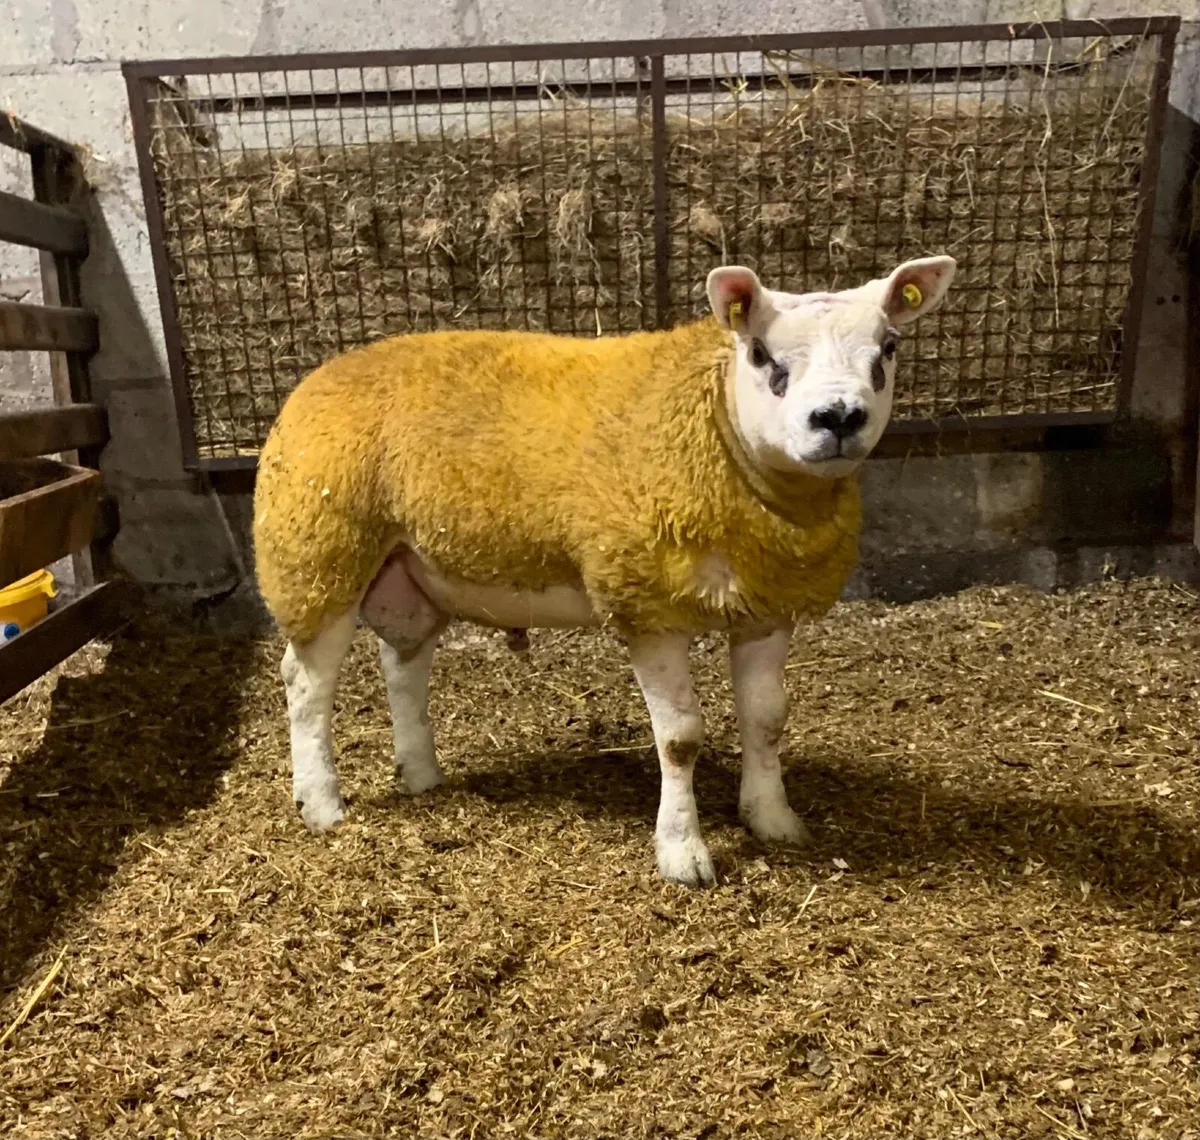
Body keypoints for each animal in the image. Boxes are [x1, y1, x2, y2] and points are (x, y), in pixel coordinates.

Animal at [253, 254, 956, 888]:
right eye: (762, 355)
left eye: (888, 348)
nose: (838, 418)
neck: (714, 423)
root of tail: (316, 379)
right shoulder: (645, 603)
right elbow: (680, 739)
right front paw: (682, 854)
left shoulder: (767, 606)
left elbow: (766, 719)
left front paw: (773, 819)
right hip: (318, 556)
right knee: (306, 685)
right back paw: (322, 804)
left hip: (406, 572)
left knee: (403, 667)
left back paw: (422, 775)